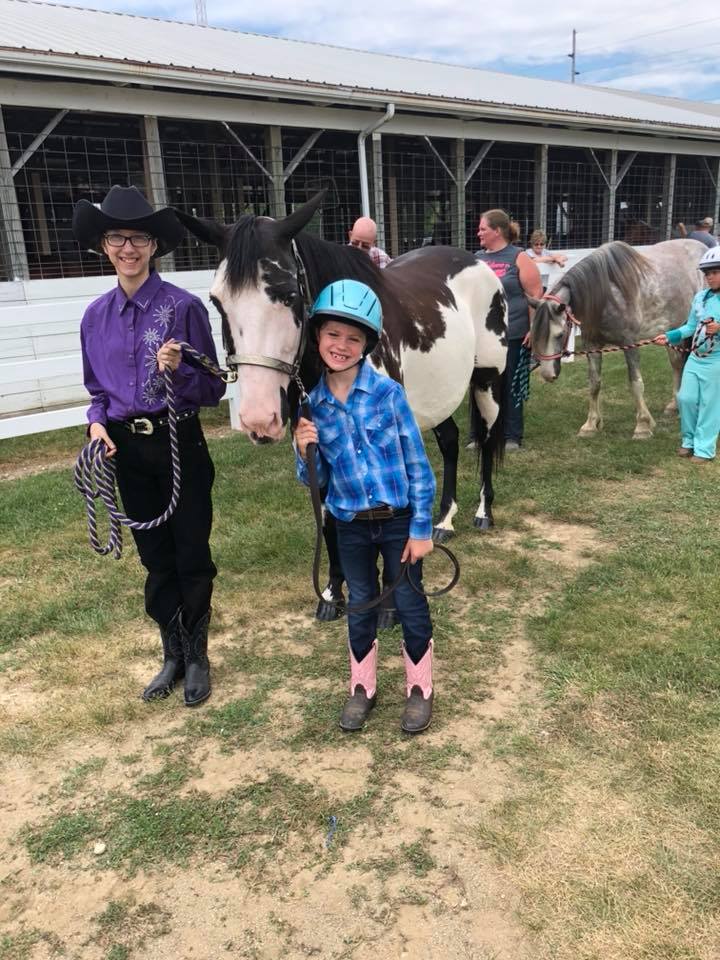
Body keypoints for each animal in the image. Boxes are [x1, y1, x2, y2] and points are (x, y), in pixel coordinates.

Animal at [174, 191, 508, 621]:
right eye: (217, 302)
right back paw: (445, 520)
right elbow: (331, 520)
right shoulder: (318, 446)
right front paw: (333, 594)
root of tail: (479, 264)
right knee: (450, 442)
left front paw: (387, 607)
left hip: (487, 382)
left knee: (486, 441)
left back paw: (483, 512)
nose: (259, 419)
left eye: (289, 293)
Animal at [530, 239, 705, 439]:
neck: (607, 294)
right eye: (535, 335)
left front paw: (642, 426)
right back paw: (674, 406)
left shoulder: (630, 344)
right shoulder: (592, 345)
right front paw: (590, 425)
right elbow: (594, 383)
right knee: (677, 364)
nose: (547, 375)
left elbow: (636, 383)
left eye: (559, 334)